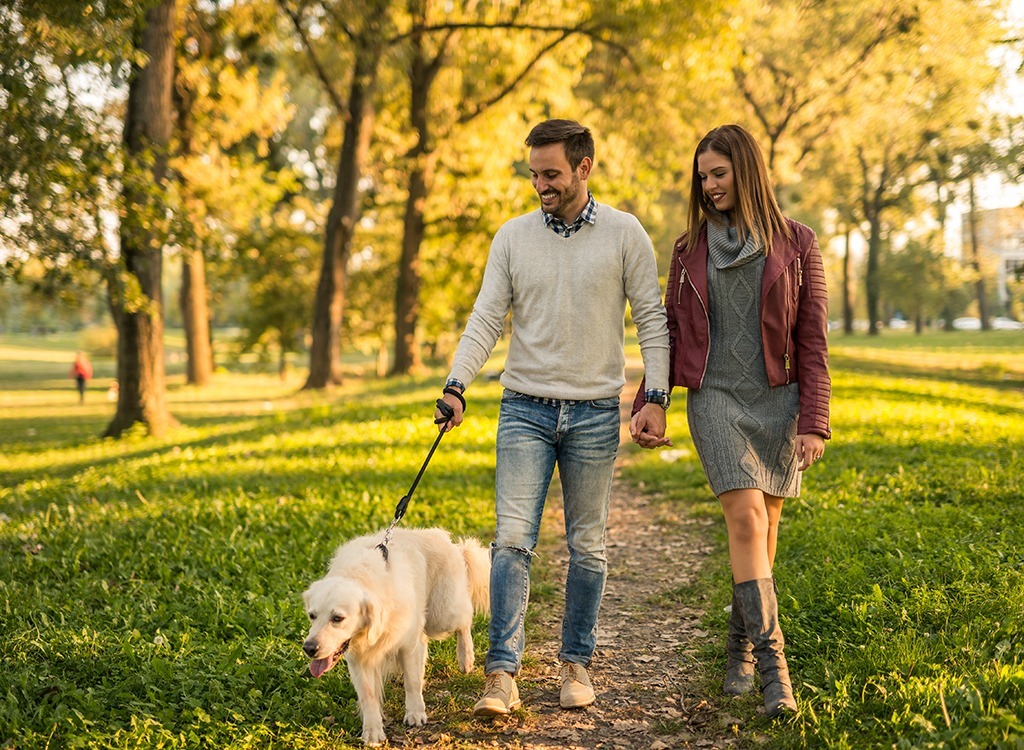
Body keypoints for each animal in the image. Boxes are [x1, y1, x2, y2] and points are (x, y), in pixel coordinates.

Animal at [301, 528, 489, 745]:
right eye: (312, 615)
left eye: (337, 618)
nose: (309, 648)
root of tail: (444, 538)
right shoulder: (358, 660)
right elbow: (368, 696)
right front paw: (372, 731)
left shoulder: (408, 646)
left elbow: (412, 682)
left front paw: (415, 713)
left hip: (442, 615)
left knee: (465, 620)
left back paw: (466, 658)